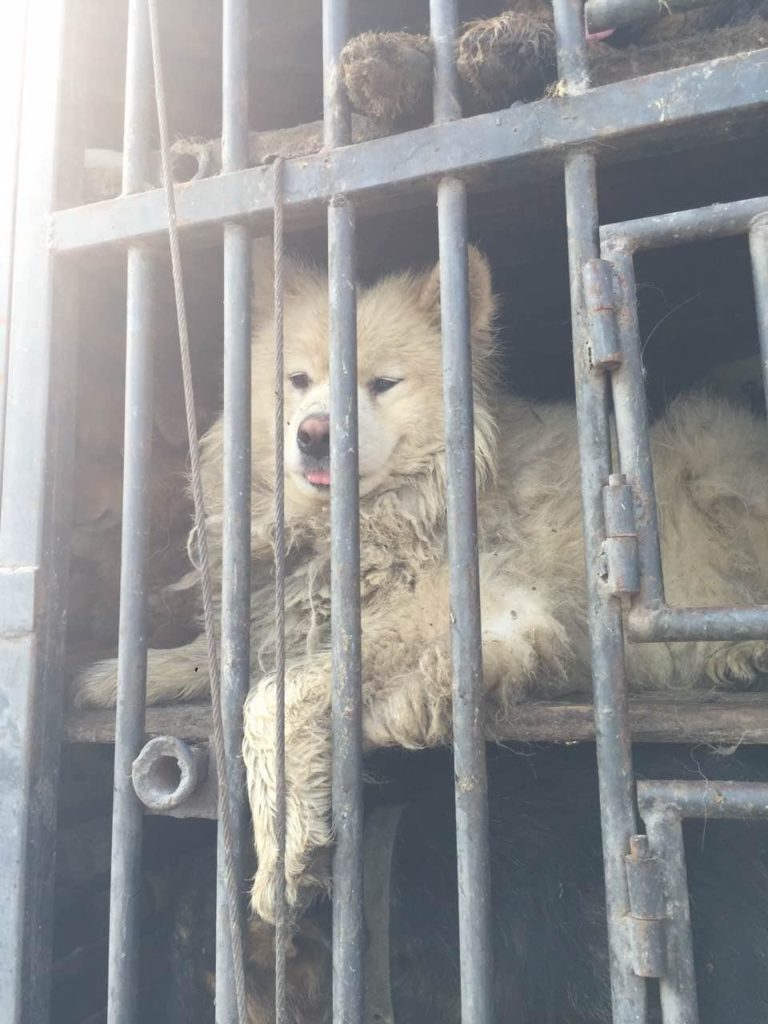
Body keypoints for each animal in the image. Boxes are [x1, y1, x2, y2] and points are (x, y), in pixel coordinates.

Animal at [73, 239, 768, 921]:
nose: (314, 434)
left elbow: (270, 698)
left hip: (708, 455)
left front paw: (286, 853)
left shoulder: (489, 616)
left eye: (382, 383)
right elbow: (212, 660)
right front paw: (117, 677)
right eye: (298, 380)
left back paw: (738, 650)